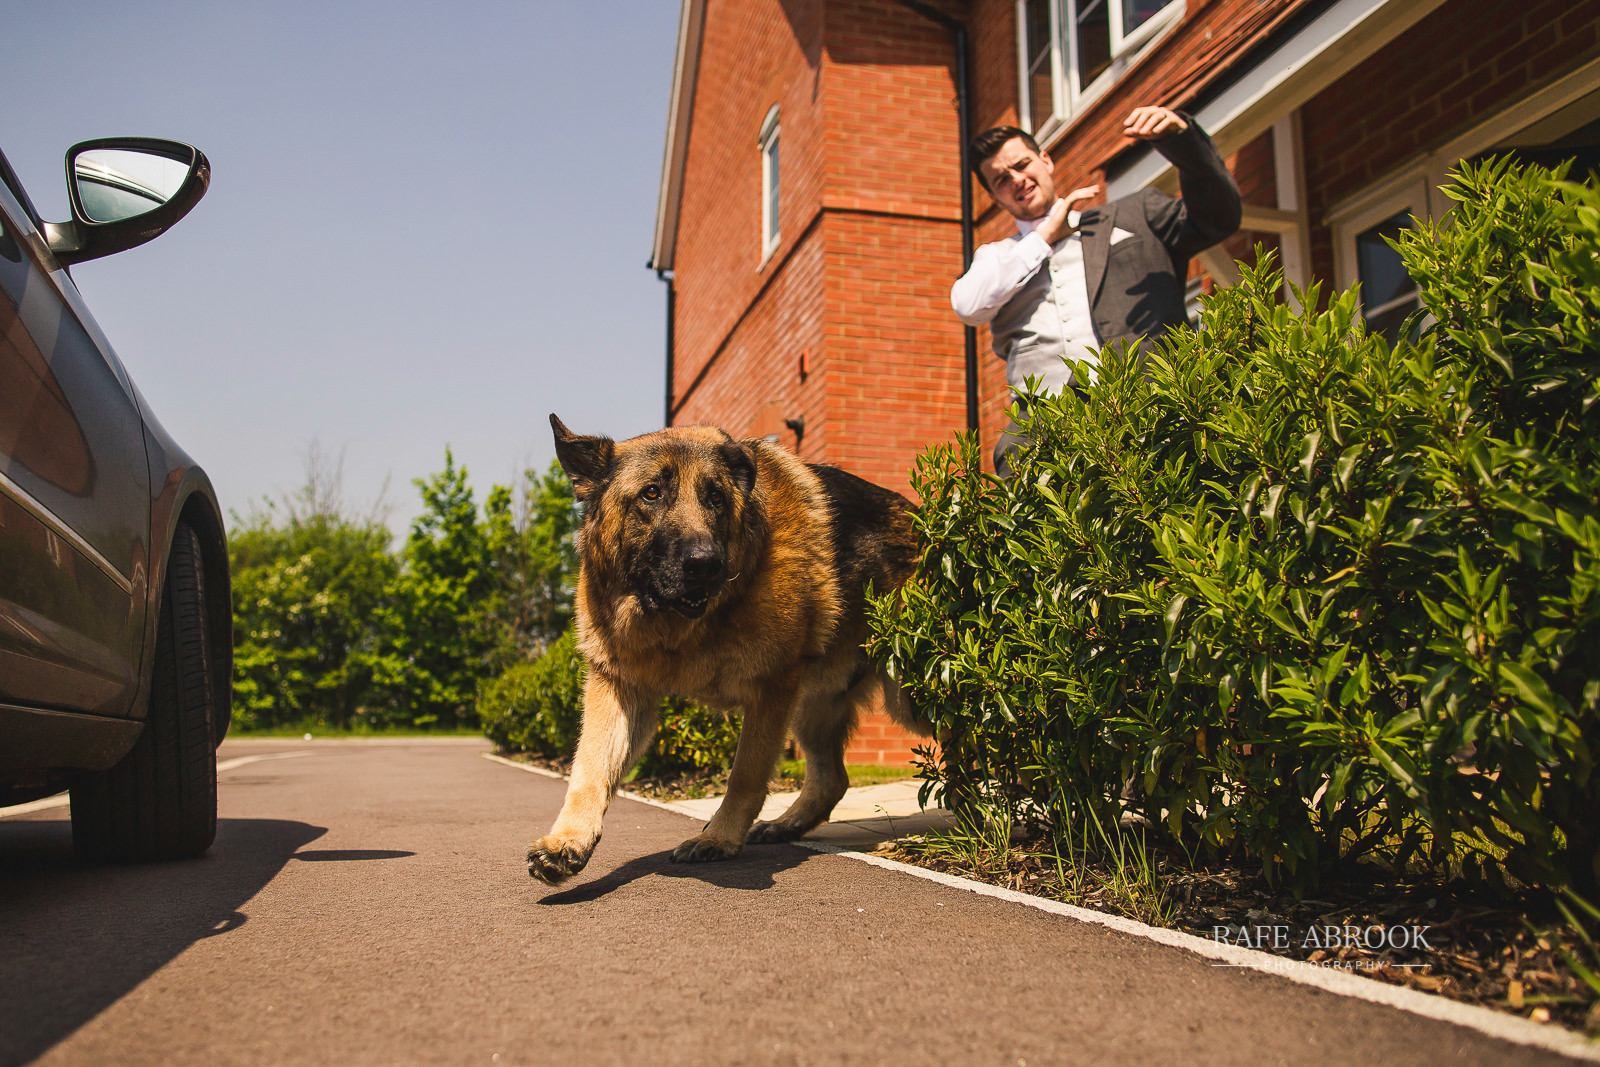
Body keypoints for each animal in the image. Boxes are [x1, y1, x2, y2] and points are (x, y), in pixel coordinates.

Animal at [524, 415, 928, 883]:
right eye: (651, 493)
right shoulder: (619, 690)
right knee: (832, 778)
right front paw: (568, 841)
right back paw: (787, 824)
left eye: (715, 497)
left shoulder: (771, 692)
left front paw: (718, 838)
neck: (678, 626)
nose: (706, 564)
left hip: (910, 698)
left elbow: (745, 774)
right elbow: (589, 769)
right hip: (814, 707)